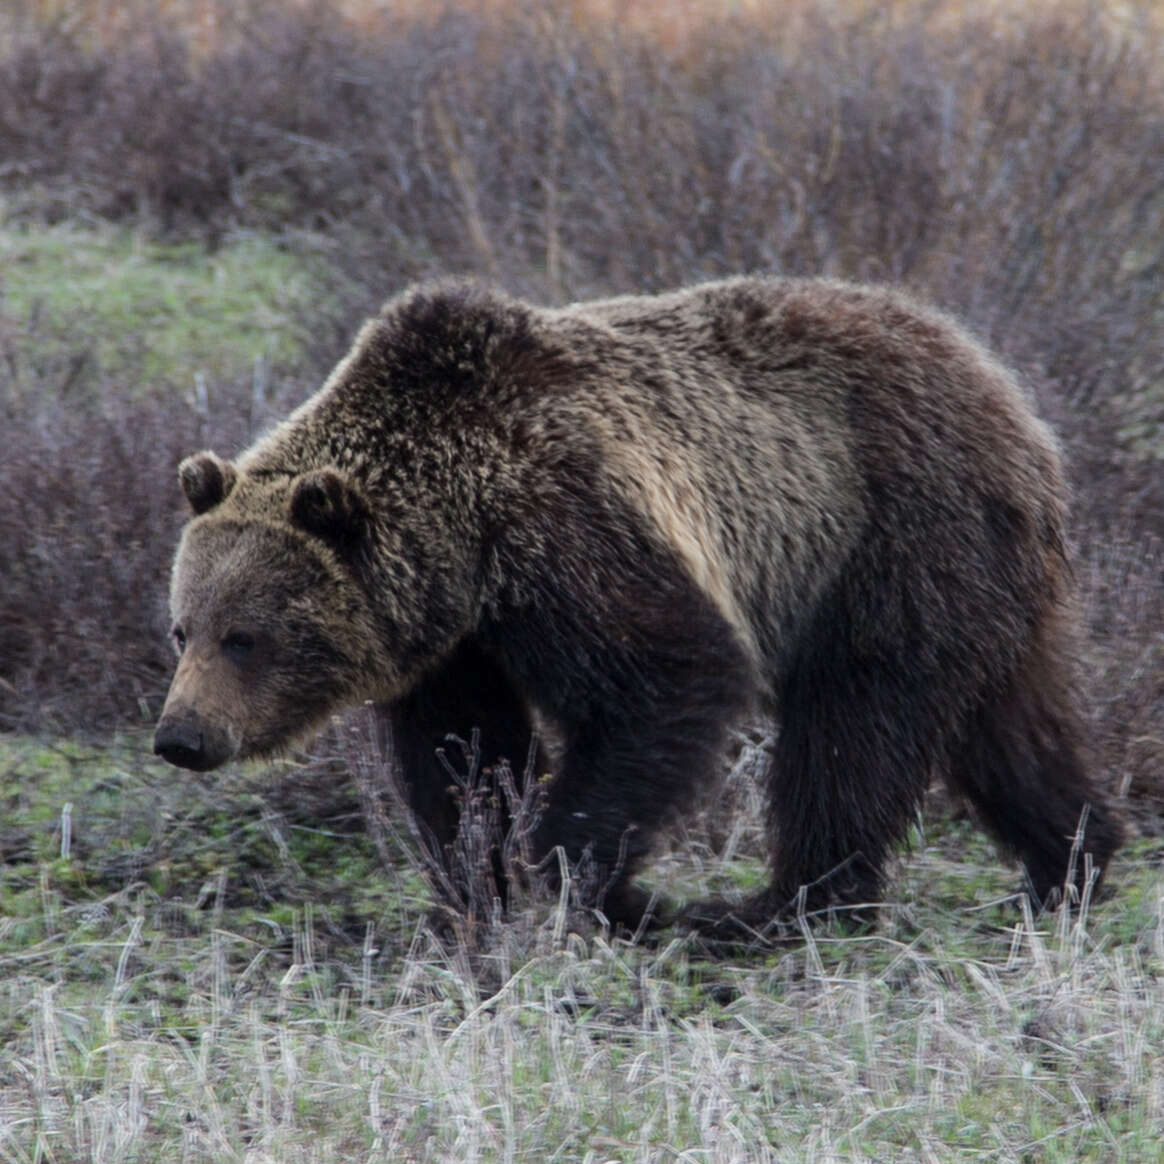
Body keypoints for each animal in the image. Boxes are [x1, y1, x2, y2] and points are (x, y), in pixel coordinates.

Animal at [157, 277, 1126, 931]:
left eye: (246, 636)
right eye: (181, 629)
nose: (182, 736)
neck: (464, 535)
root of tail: (1006, 390)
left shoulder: (568, 524)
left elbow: (664, 677)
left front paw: (575, 881)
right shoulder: (457, 636)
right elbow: (464, 754)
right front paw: (478, 885)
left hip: (888, 536)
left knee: (856, 727)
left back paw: (784, 906)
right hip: (989, 580)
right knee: (1014, 725)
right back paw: (1071, 862)